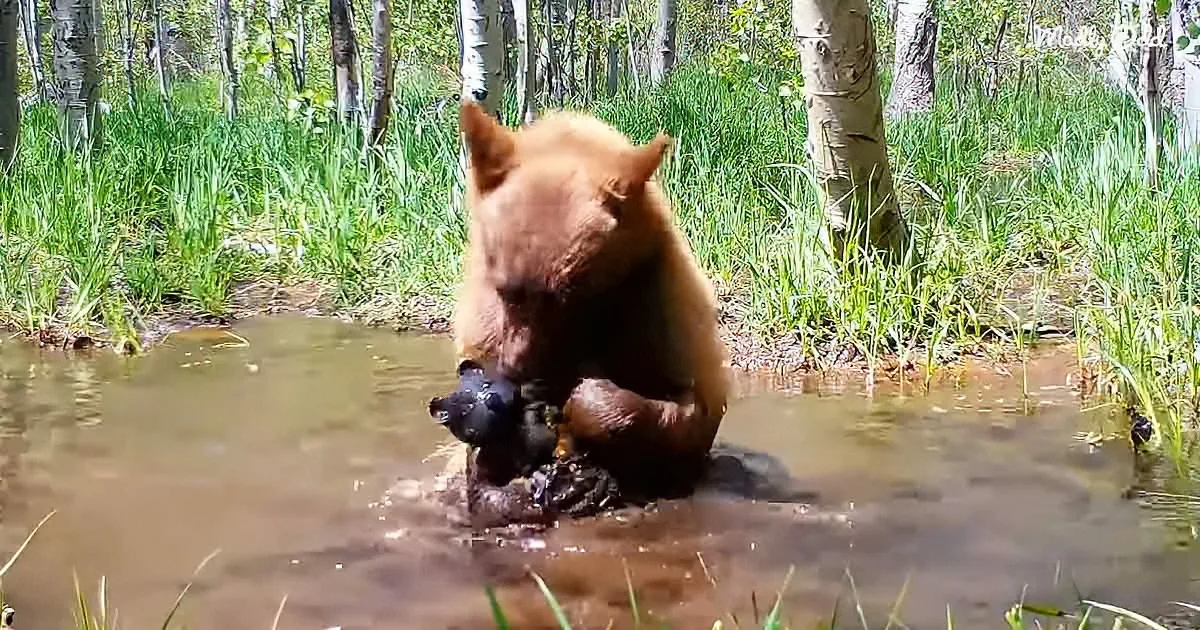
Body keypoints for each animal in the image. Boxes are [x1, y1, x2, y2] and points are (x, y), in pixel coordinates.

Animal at [448, 100, 731, 520]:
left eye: (566, 299)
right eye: (505, 291)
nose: (515, 373)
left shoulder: (660, 309)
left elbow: (691, 411)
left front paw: (582, 402)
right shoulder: (484, 329)